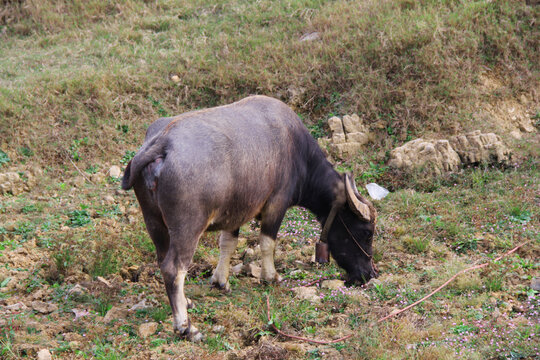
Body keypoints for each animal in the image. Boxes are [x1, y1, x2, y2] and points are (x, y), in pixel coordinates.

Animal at [121, 95, 376, 340]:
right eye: (366, 232)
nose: (368, 274)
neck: (297, 152)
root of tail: (163, 142)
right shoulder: (276, 204)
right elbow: (267, 243)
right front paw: (271, 277)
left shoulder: (234, 213)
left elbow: (228, 243)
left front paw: (220, 281)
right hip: (187, 227)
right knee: (174, 268)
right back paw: (187, 328)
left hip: (154, 221)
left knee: (162, 259)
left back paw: (186, 302)